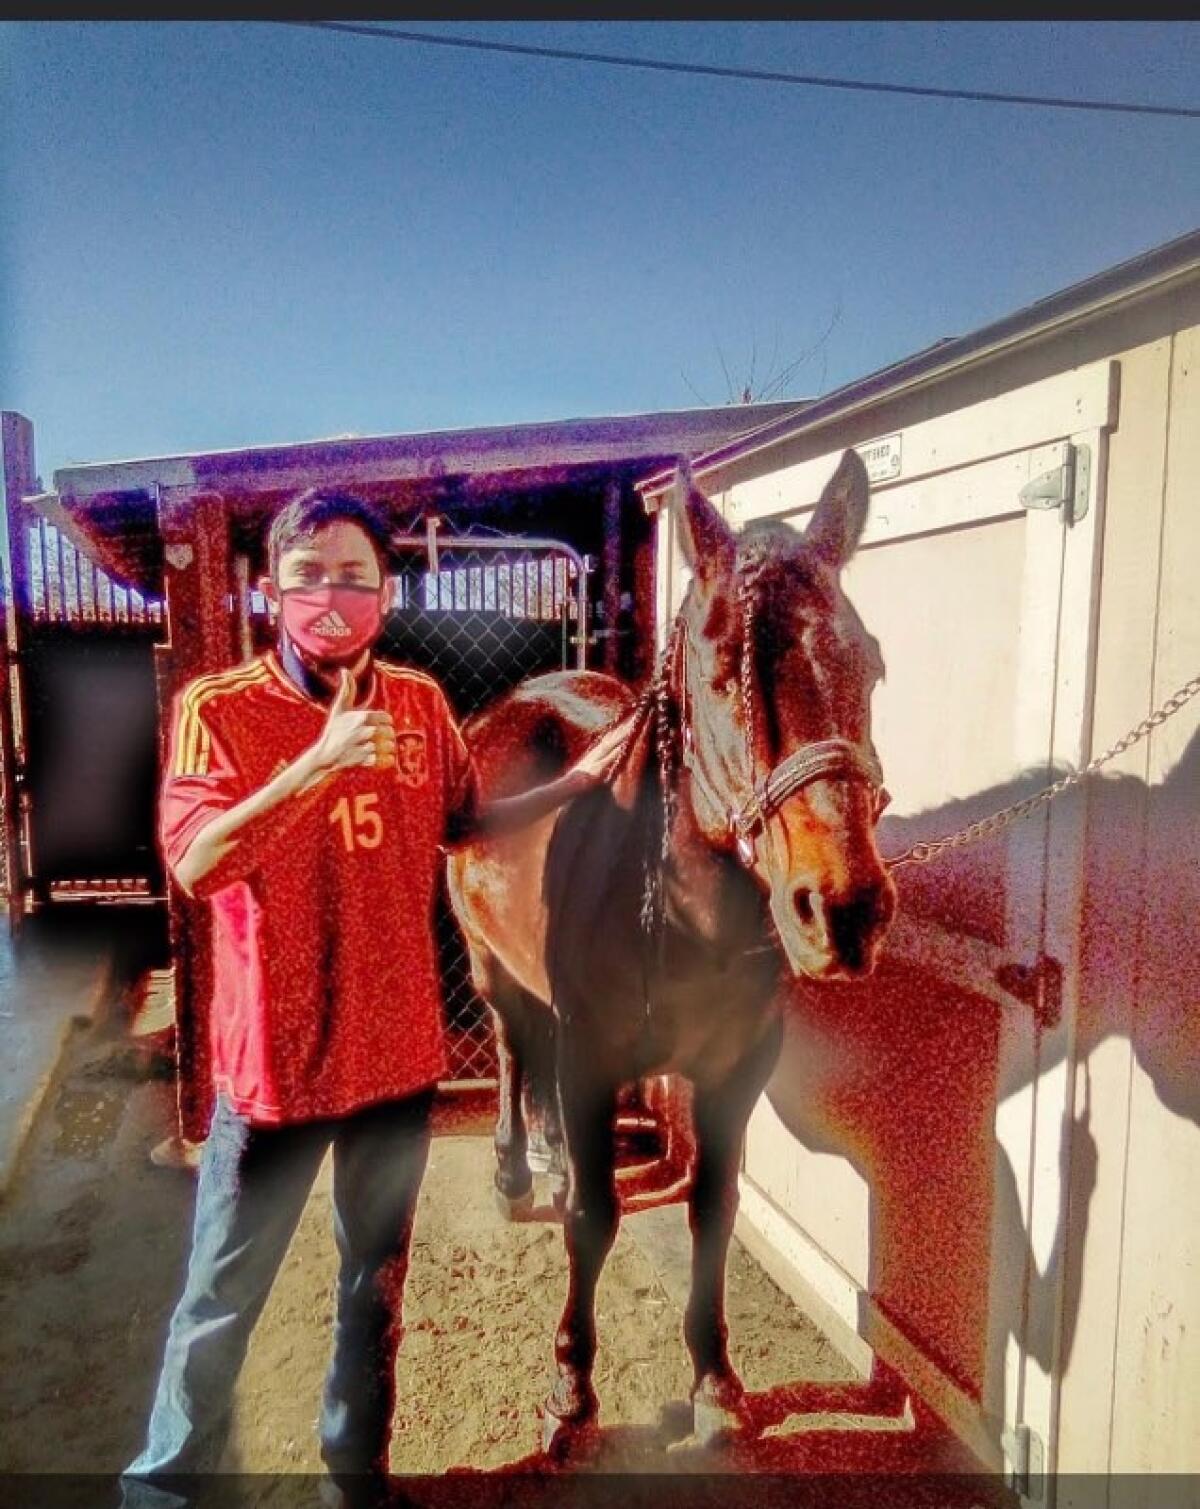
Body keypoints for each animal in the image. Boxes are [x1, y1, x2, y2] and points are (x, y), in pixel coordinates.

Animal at [446, 452, 893, 1454]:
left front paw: (717, 1379)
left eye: (872, 661)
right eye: (720, 674)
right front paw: (570, 1388)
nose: (844, 911)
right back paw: (509, 1170)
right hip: (491, 965)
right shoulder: (592, 1057)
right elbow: (593, 1218)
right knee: (513, 1048)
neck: (692, 920)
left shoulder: (737, 1070)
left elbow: (714, 1211)